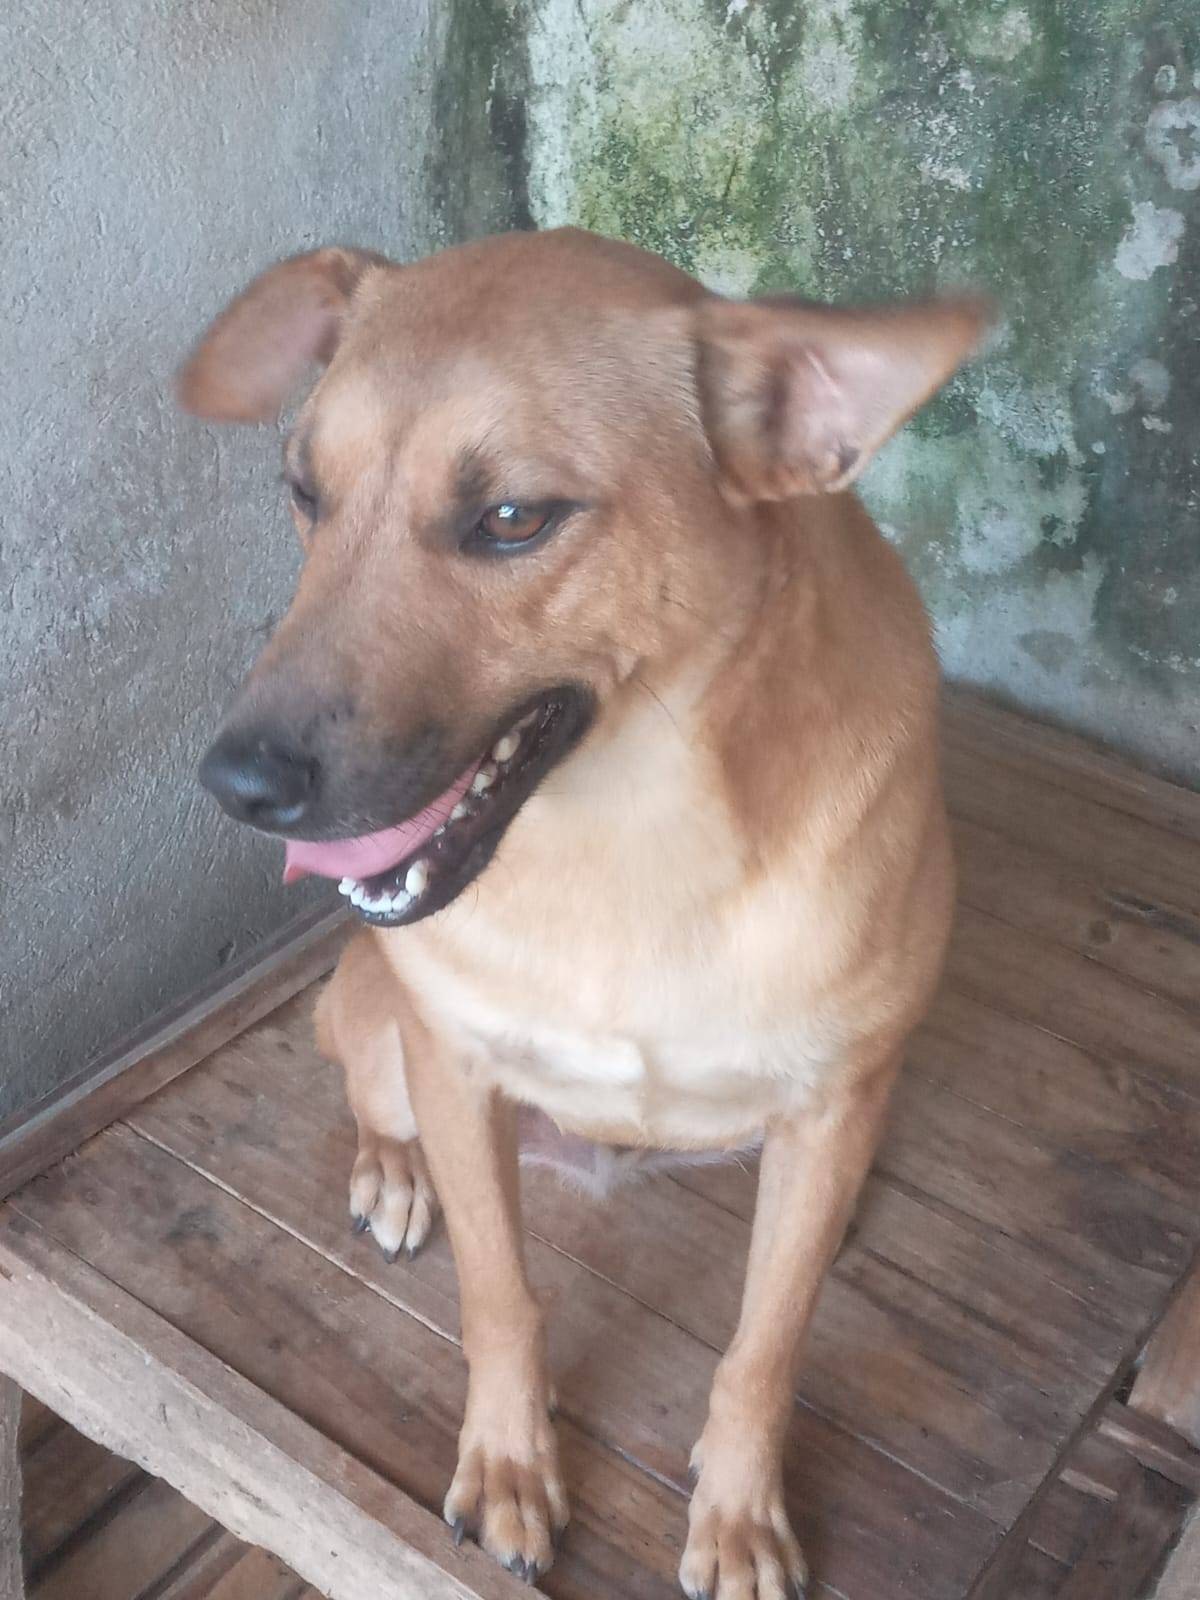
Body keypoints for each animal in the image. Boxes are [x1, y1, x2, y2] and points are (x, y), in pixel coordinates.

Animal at [178, 228, 987, 1599]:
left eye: (512, 517)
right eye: (304, 490)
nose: (236, 786)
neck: (634, 836)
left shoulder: (832, 1105)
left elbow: (764, 1349)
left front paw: (740, 1511)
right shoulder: (458, 1071)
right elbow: (501, 1297)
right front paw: (511, 1463)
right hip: (382, 1029)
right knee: (365, 1088)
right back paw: (389, 1172)